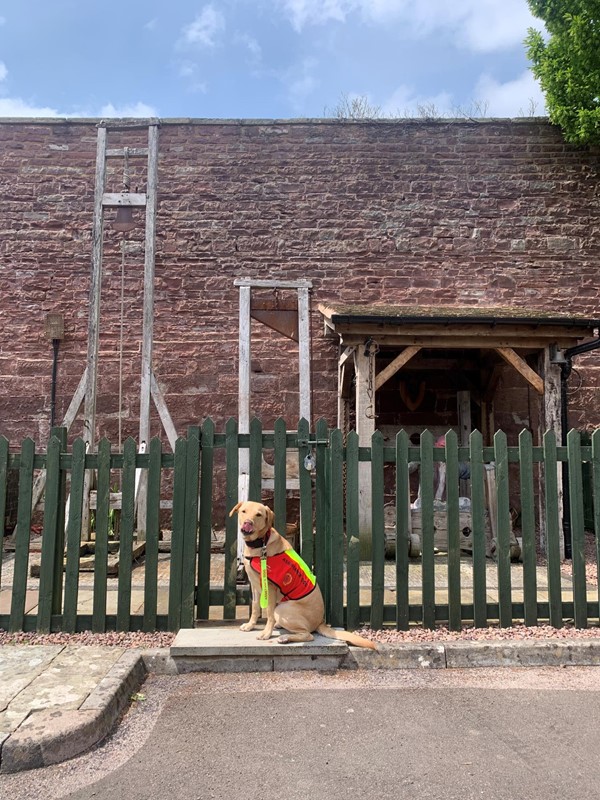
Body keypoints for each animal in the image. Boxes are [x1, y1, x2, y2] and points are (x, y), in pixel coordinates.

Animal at [229, 500, 376, 648]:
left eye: (258, 514)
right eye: (243, 511)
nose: (247, 523)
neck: (260, 543)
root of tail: (321, 622)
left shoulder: (269, 588)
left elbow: (269, 614)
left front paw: (266, 633)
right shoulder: (254, 586)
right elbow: (254, 608)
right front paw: (250, 625)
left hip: (282, 609)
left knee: (308, 634)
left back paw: (285, 637)